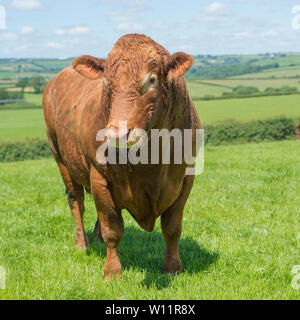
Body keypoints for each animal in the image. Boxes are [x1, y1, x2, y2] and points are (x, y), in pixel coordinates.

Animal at [42, 33, 202, 282]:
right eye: (107, 85)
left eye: (151, 80)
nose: (117, 133)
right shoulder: (99, 176)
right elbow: (113, 229)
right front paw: (112, 272)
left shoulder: (185, 177)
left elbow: (172, 227)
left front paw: (172, 268)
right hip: (61, 160)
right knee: (77, 202)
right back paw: (82, 243)